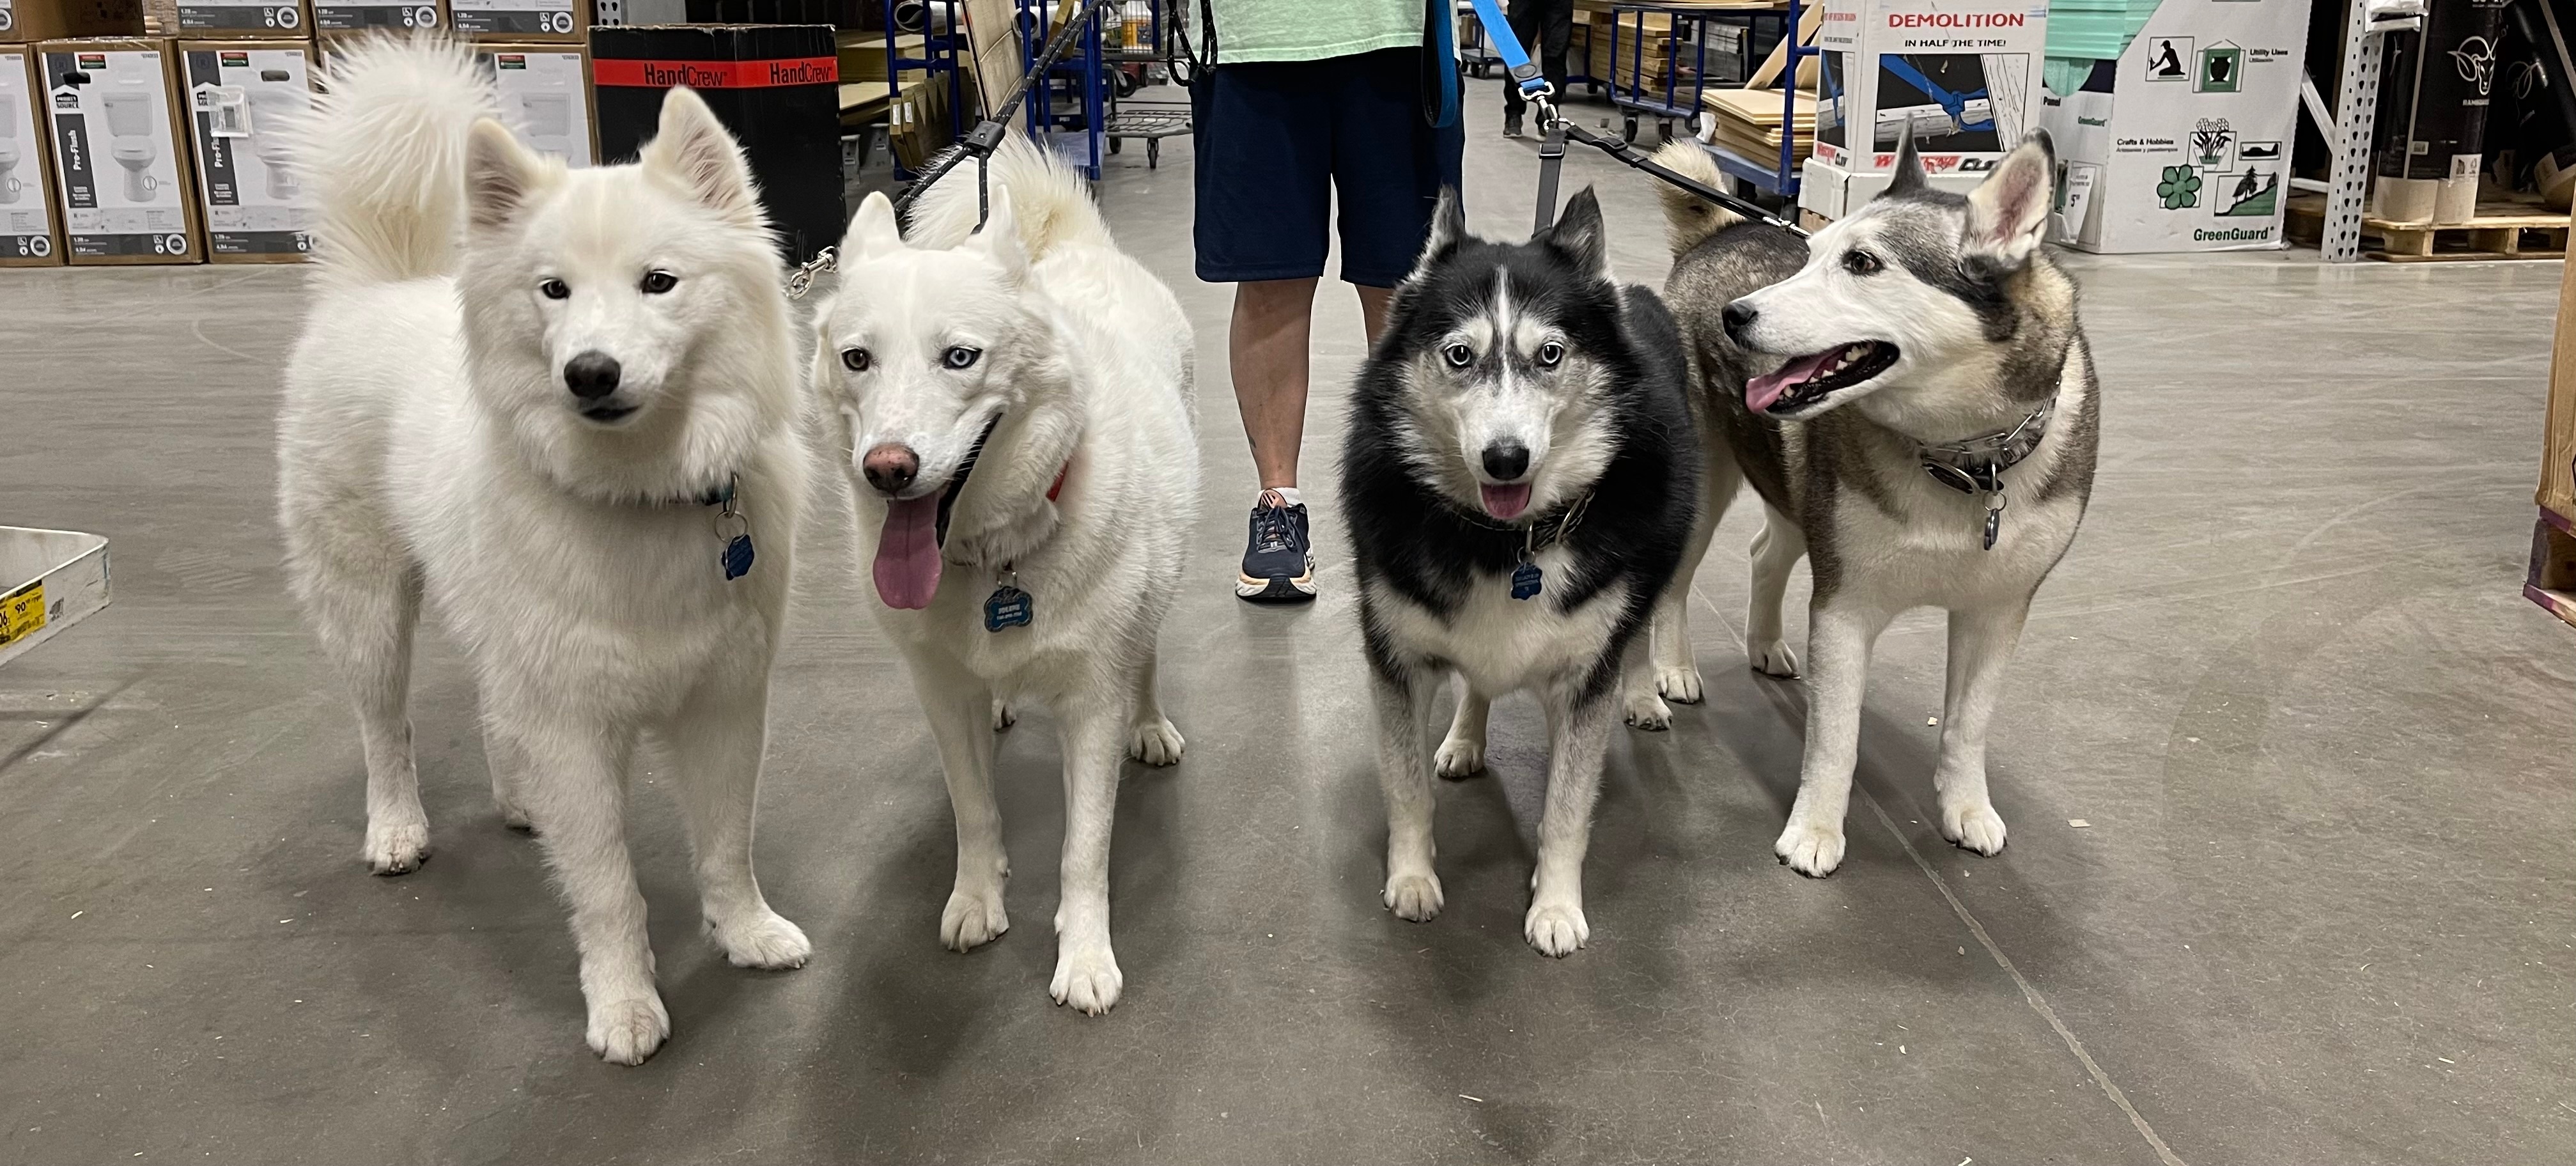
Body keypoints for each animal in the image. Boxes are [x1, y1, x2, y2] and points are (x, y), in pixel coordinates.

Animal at [278, 40, 809, 1065]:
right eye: (552, 290)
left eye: (659, 282)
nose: (589, 373)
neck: (641, 494)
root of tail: (376, 288)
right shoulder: (575, 722)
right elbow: (606, 885)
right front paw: (624, 1005)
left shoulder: (726, 702)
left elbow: (728, 842)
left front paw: (745, 932)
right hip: (367, 607)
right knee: (384, 727)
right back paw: (396, 828)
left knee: (493, 704)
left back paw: (519, 798)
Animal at [809, 138, 1200, 1009]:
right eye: (857, 359)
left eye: (961, 358)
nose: (887, 470)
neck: (997, 558)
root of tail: (1076, 248)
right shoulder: (939, 695)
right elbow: (974, 810)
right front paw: (977, 899)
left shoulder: (1091, 707)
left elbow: (1083, 849)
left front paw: (1084, 958)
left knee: (1150, 651)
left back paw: (1151, 723)